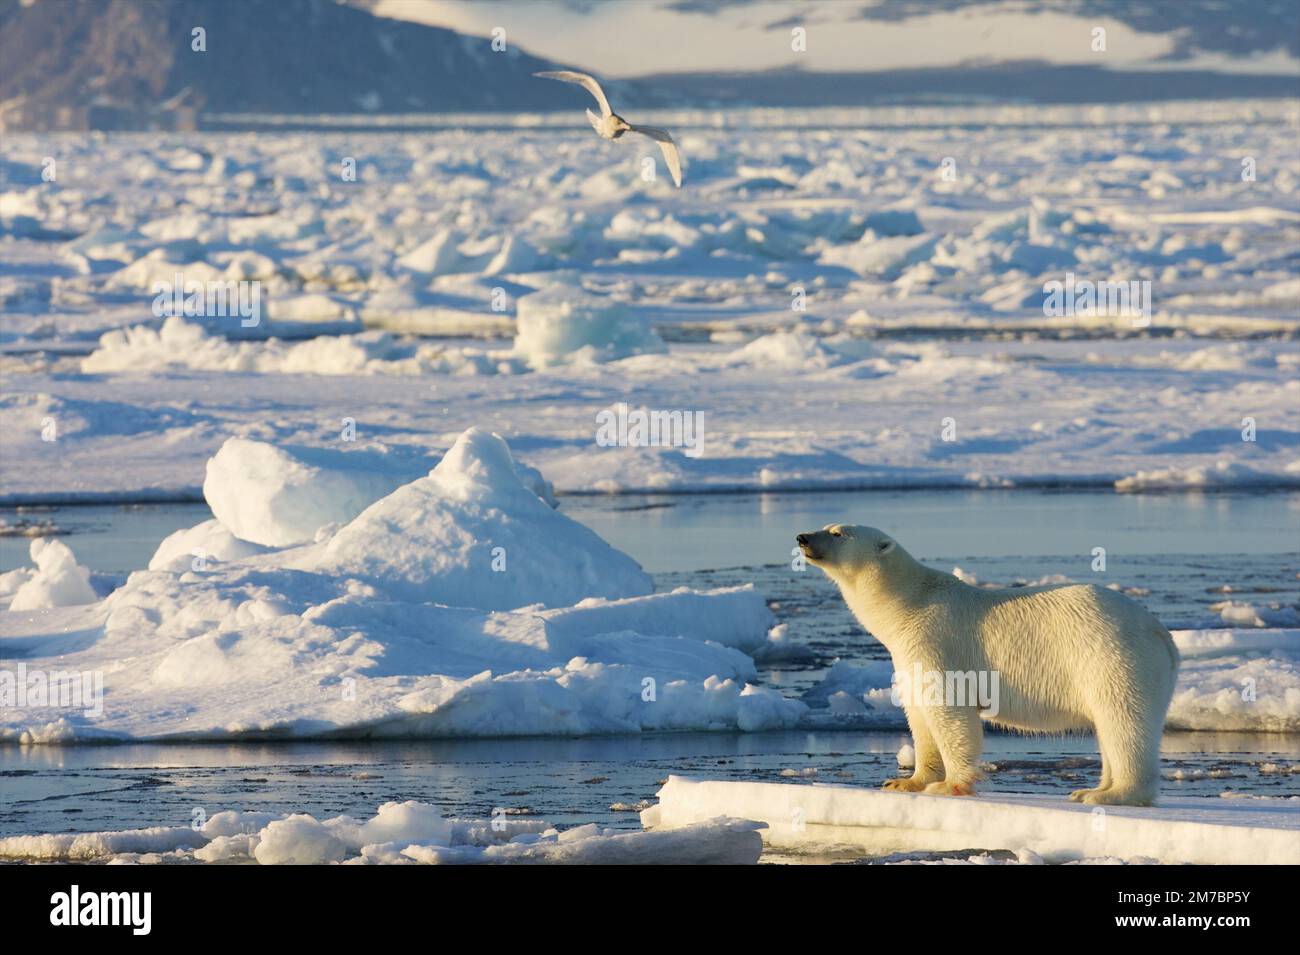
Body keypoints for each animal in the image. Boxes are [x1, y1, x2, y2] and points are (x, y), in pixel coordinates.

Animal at [795, 522, 1185, 805]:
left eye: (837, 533)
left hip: (1113, 658)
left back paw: (1110, 794)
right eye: (828, 526)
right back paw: (1094, 789)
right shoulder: (907, 654)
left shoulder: (936, 638)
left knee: (1123, 722)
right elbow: (919, 713)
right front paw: (905, 781)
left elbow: (950, 711)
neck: (907, 605)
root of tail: (1162, 635)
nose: (802, 537)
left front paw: (950, 785)